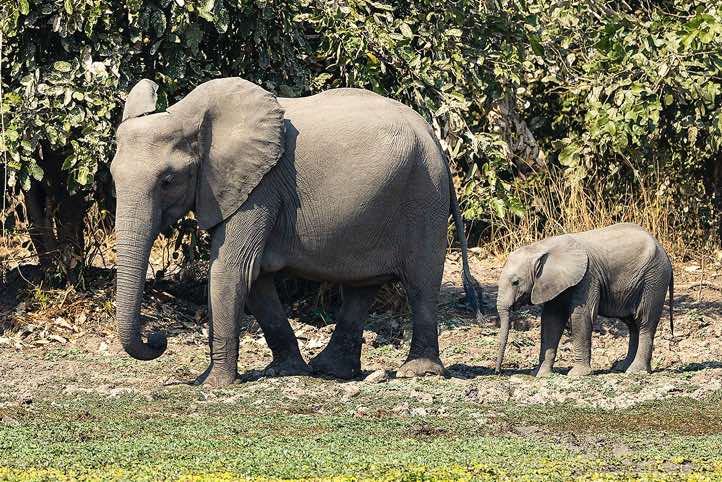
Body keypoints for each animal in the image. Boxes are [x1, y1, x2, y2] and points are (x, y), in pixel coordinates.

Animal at [110, 77, 483, 387]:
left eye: (168, 180)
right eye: (112, 176)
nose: (158, 338)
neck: (190, 117)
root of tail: (434, 138)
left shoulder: (260, 187)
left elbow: (232, 269)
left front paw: (212, 384)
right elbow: (256, 278)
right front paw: (285, 371)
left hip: (424, 196)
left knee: (421, 280)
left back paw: (417, 373)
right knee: (362, 286)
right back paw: (330, 370)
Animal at [495, 223, 673, 376]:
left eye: (515, 282)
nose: (498, 372)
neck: (541, 248)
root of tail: (664, 251)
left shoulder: (588, 277)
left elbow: (581, 316)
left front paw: (577, 375)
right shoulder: (554, 282)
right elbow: (551, 320)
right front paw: (540, 374)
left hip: (654, 280)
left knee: (644, 321)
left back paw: (635, 371)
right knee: (632, 324)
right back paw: (622, 367)